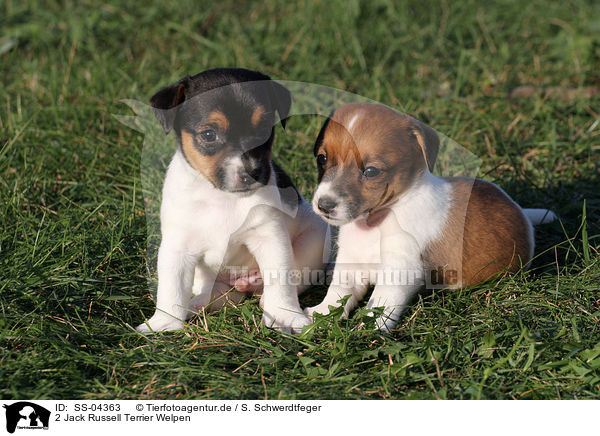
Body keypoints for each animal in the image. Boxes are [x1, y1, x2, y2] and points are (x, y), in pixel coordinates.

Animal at [138, 68, 330, 334]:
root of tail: (242, 284)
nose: (252, 172)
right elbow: (171, 288)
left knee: (293, 277)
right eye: (209, 135)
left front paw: (285, 315)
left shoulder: (270, 238)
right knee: (215, 292)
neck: (222, 197)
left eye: (264, 128)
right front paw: (164, 324)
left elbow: (281, 280)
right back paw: (197, 304)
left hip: (316, 240)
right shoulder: (177, 246)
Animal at [308, 102, 556, 332]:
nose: (324, 205)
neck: (377, 221)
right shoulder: (351, 263)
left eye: (370, 171)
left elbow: (381, 301)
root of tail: (520, 211)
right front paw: (319, 315)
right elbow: (337, 293)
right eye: (322, 158)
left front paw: (369, 328)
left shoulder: (401, 269)